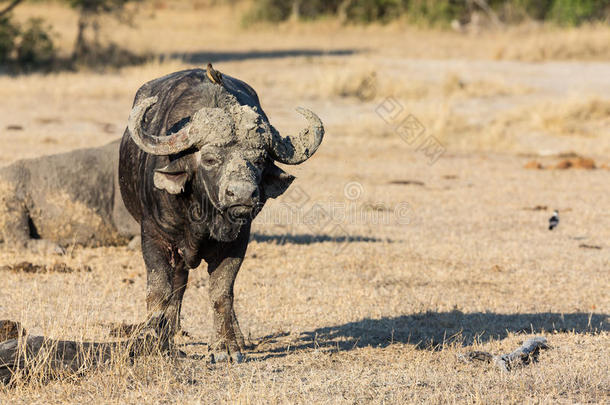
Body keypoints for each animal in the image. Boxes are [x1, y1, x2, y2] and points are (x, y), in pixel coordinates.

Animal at [118, 65, 324, 360]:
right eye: (210, 158)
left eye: (259, 159)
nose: (242, 195)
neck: (203, 215)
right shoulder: (154, 237)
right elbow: (158, 289)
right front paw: (151, 339)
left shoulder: (237, 242)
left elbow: (222, 291)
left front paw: (226, 346)